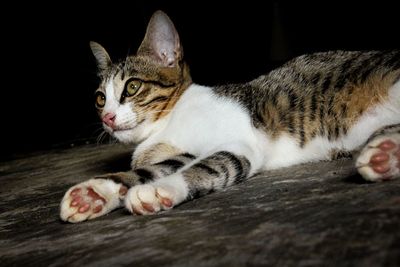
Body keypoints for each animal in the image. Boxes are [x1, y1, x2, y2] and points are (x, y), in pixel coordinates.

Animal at [57, 10, 398, 224]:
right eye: (100, 98)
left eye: (132, 87)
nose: (108, 118)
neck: (166, 124)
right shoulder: (182, 152)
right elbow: (150, 168)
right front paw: (94, 194)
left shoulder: (239, 143)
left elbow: (209, 166)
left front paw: (159, 190)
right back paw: (386, 154)